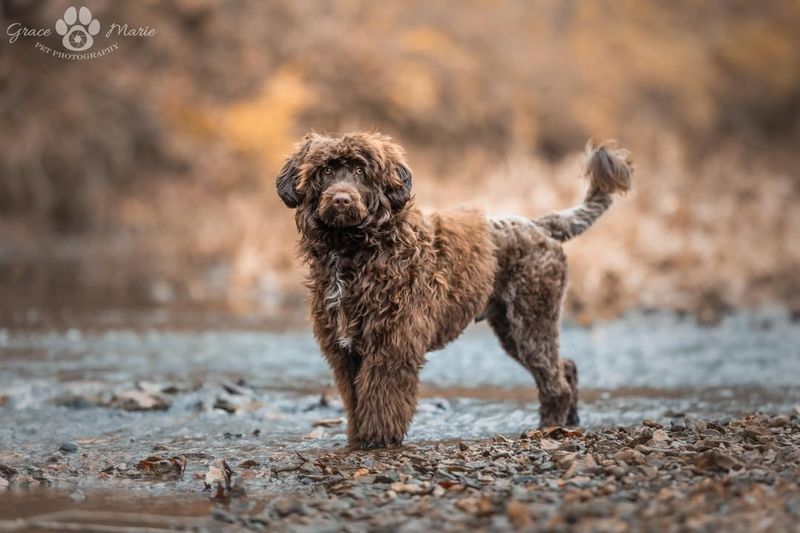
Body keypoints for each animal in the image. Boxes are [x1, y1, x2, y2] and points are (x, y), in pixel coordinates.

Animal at [278, 131, 636, 446]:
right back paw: (571, 422)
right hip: (513, 328)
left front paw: (377, 440)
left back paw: (547, 429)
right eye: (326, 170)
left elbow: (381, 399)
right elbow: (355, 401)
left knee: (555, 383)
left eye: (360, 171)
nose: (341, 199)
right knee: (566, 368)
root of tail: (540, 226)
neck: (357, 249)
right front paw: (357, 438)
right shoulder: (346, 351)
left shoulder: (392, 346)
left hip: (531, 322)